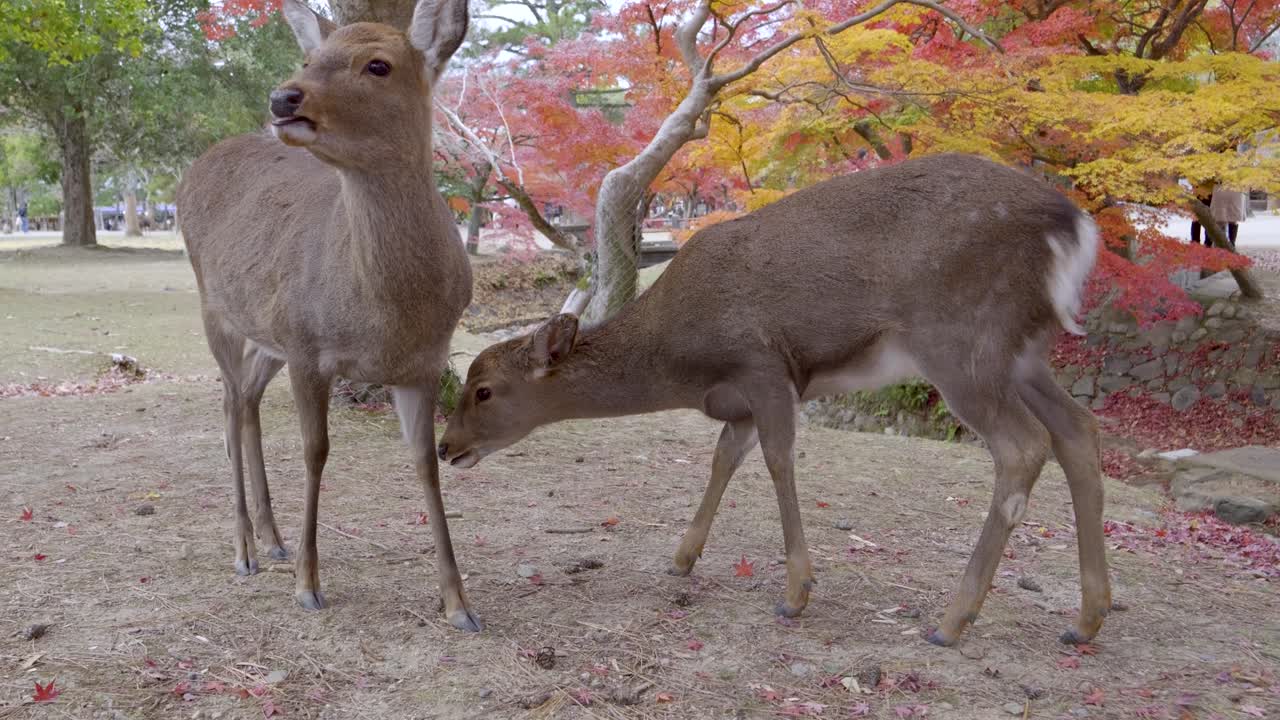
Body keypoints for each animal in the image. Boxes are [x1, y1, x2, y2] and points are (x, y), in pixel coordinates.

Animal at [176, 0, 481, 631]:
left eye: (378, 64)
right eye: (309, 57)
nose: (282, 98)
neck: (387, 316)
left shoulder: (422, 363)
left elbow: (426, 460)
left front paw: (459, 603)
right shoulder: (308, 348)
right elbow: (315, 452)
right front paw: (308, 586)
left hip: (267, 337)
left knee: (245, 397)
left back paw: (272, 539)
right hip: (214, 305)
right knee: (227, 400)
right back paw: (244, 549)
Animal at [439, 153, 1111, 646]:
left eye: (484, 389)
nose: (446, 447)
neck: (680, 359)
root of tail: (1074, 227)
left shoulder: (763, 366)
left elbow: (777, 460)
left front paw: (796, 593)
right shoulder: (736, 399)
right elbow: (722, 459)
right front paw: (683, 558)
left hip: (963, 340)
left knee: (1023, 445)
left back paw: (951, 621)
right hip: (1023, 353)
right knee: (1079, 428)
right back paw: (1087, 619)